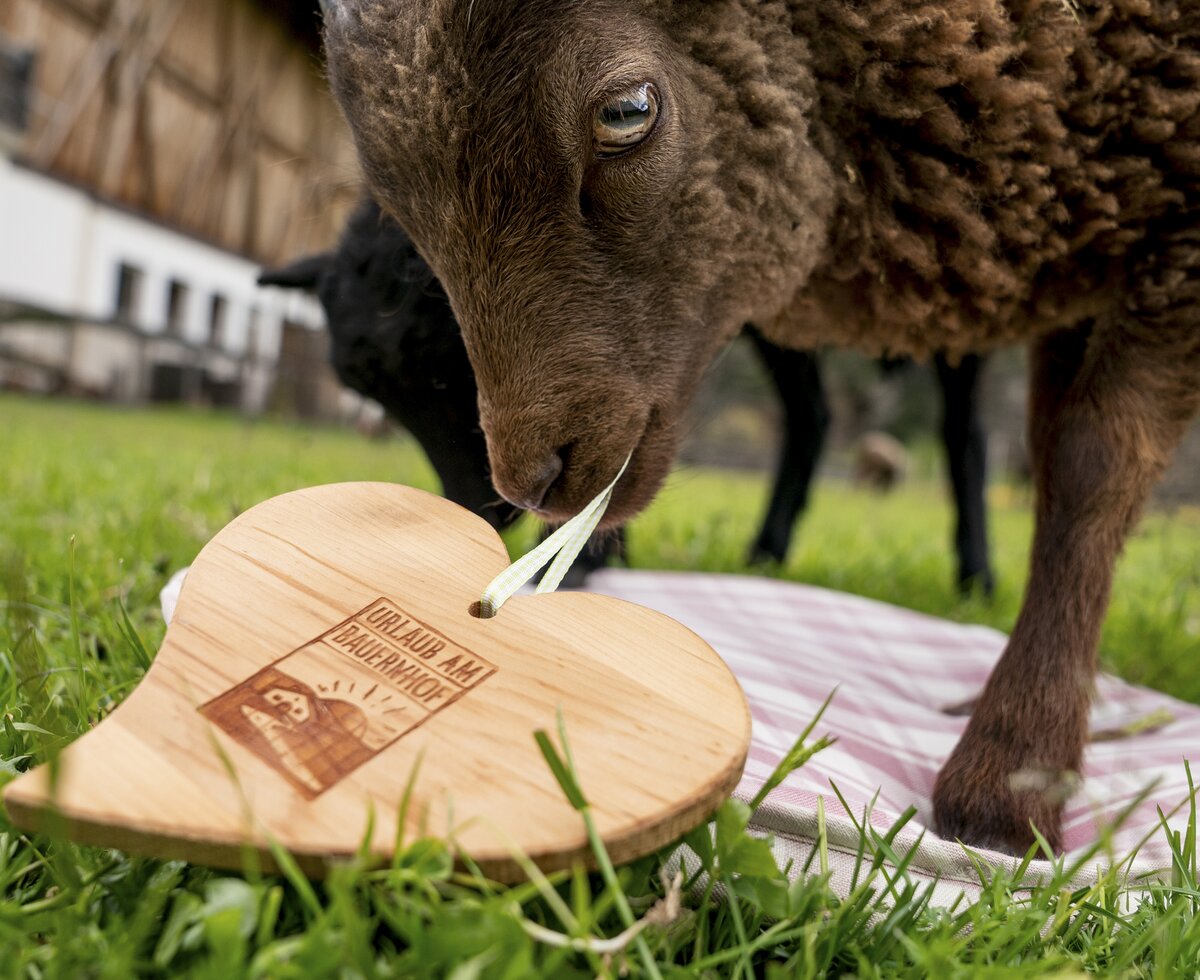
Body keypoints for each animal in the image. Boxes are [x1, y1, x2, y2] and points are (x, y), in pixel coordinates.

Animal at [321, 0, 1200, 854]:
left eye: (627, 111)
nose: (528, 484)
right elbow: (1053, 460)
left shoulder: (1172, 237)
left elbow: (1090, 465)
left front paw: (1015, 778)